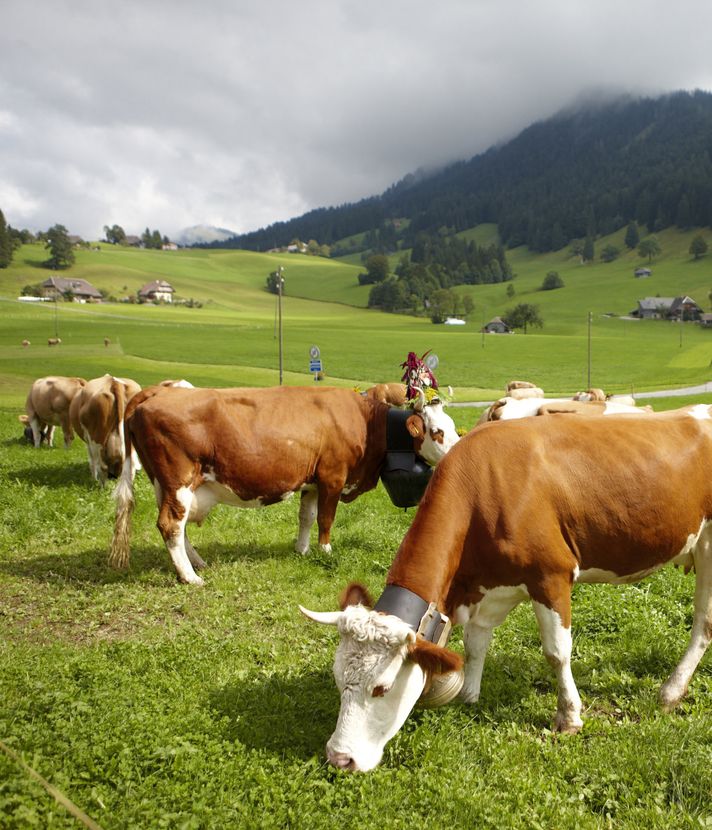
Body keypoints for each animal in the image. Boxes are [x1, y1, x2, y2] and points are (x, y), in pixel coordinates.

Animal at [108, 388, 458, 588]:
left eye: (453, 427)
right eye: (437, 431)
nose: (458, 450)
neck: (365, 423)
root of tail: (152, 394)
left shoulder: (312, 482)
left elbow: (306, 517)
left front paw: (301, 550)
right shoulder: (333, 477)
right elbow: (326, 519)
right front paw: (325, 551)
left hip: (165, 484)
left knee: (176, 528)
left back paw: (196, 562)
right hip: (179, 480)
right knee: (170, 524)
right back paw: (190, 577)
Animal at [304, 412, 712, 776]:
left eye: (382, 688)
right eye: (338, 679)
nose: (339, 758)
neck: (483, 487)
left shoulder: (551, 575)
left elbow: (557, 653)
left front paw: (569, 716)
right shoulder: (486, 588)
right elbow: (475, 644)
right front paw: (468, 695)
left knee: (703, 623)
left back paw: (671, 691)